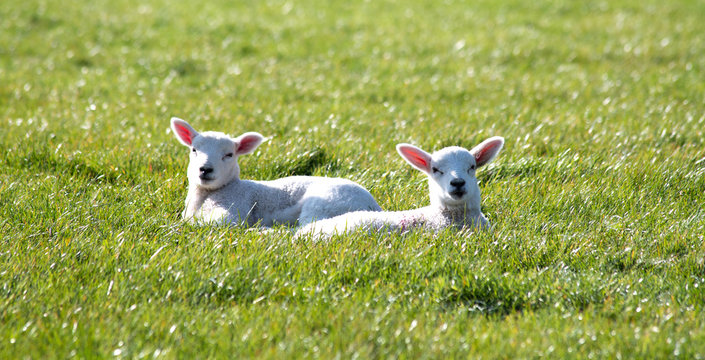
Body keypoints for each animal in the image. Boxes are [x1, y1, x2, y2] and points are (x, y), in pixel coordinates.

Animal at [169, 118, 380, 228]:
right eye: (194, 150)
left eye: (229, 154)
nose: (205, 169)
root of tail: (373, 206)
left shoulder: (235, 209)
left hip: (323, 205)